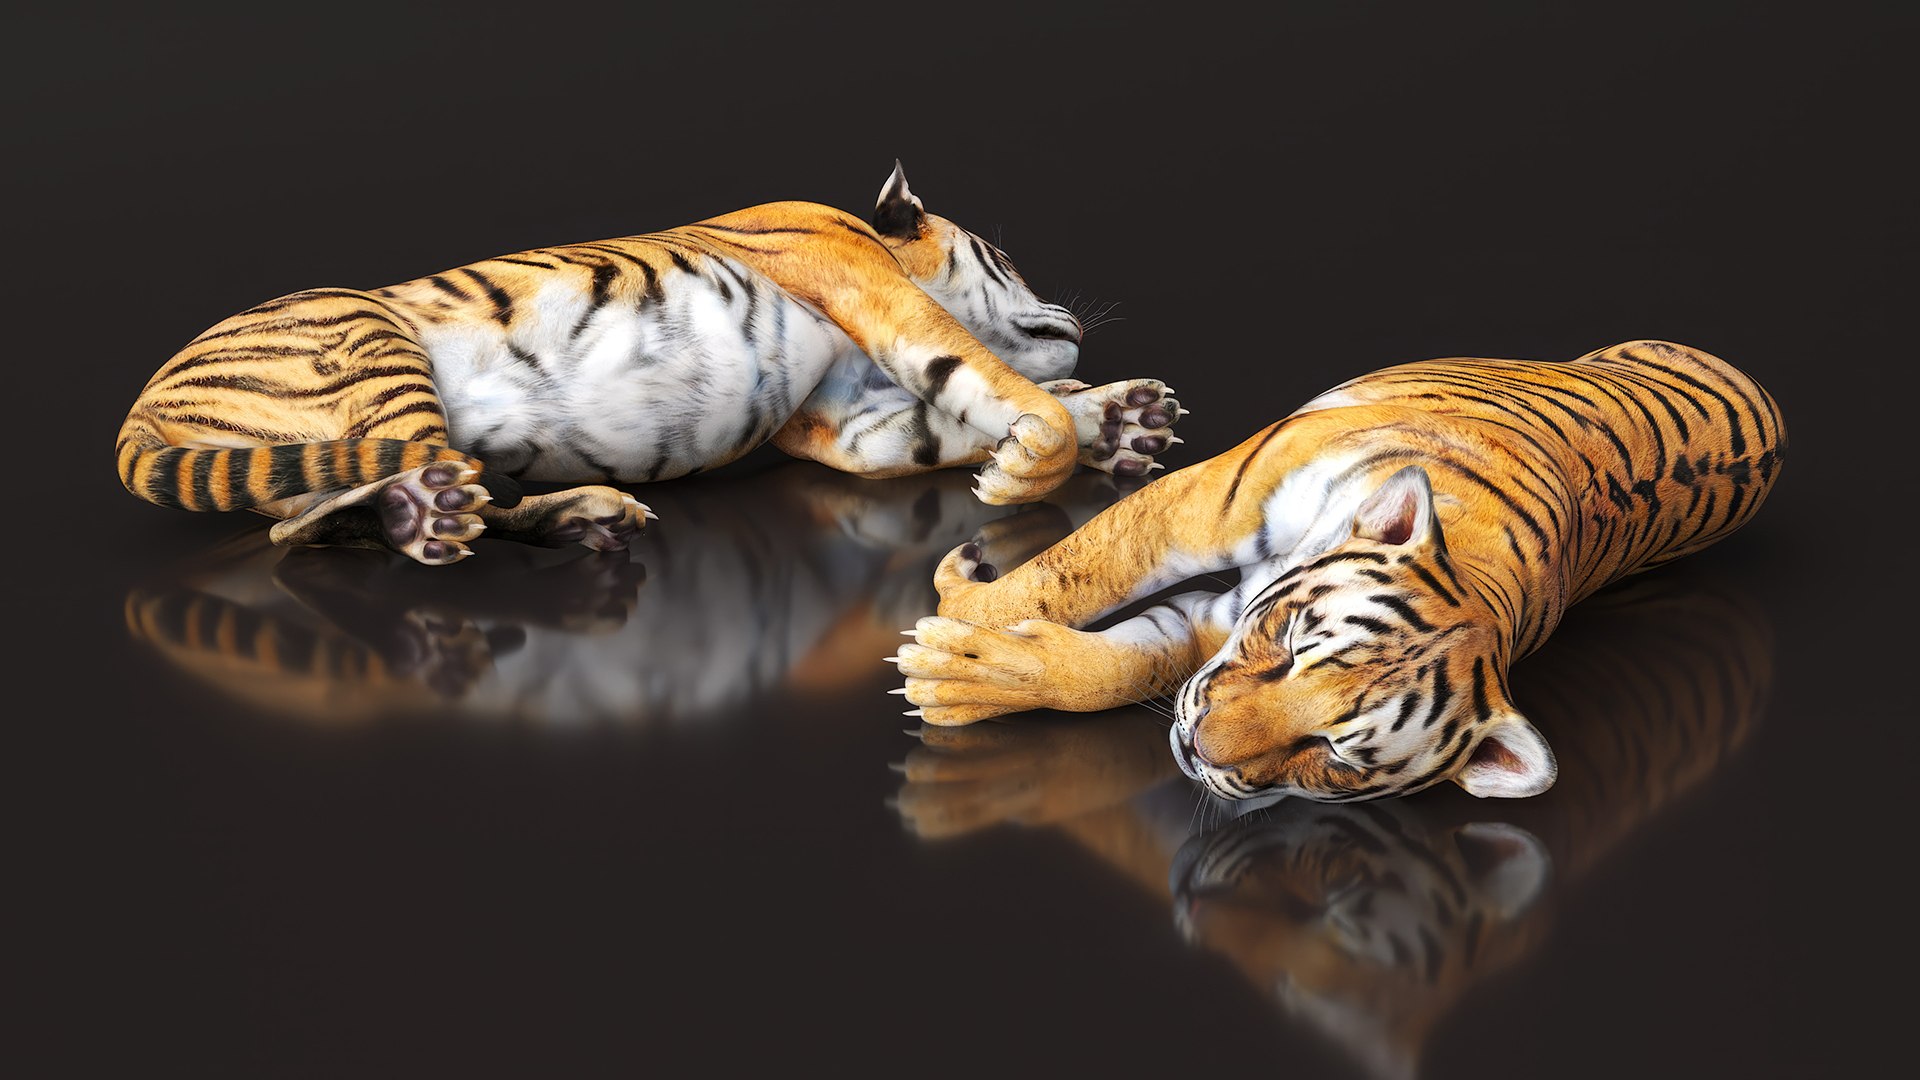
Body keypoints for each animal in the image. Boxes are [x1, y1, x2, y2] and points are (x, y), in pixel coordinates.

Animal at [114, 162, 1182, 564]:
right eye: (1005, 255)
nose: (1069, 314)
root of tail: (140, 405)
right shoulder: (862, 280)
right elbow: (982, 374)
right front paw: (1043, 452)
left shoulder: (849, 422)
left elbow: (946, 418)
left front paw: (1119, 417)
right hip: (374, 343)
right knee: (346, 508)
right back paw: (433, 518)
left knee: (305, 520)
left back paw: (575, 515)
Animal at [892, 339, 1784, 802]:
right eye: (1290, 644)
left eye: (1335, 758)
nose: (1200, 750)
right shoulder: (1198, 508)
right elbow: (1067, 574)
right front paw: (956, 608)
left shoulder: (1207, 630)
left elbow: (1109, 668)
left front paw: (953, 672)